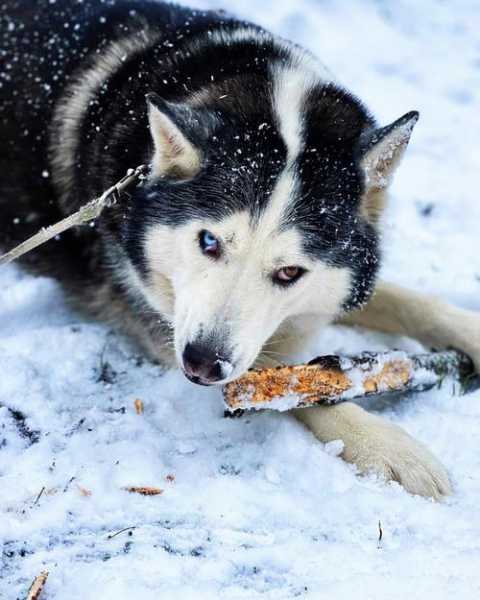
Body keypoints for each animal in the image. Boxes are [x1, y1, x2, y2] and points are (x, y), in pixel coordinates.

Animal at [0, 1, 480, 496]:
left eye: (290, 273)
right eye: (208, 241)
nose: (202, 365)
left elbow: (413, 303)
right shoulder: (158, 316)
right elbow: (292, 384)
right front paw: (390, 447)